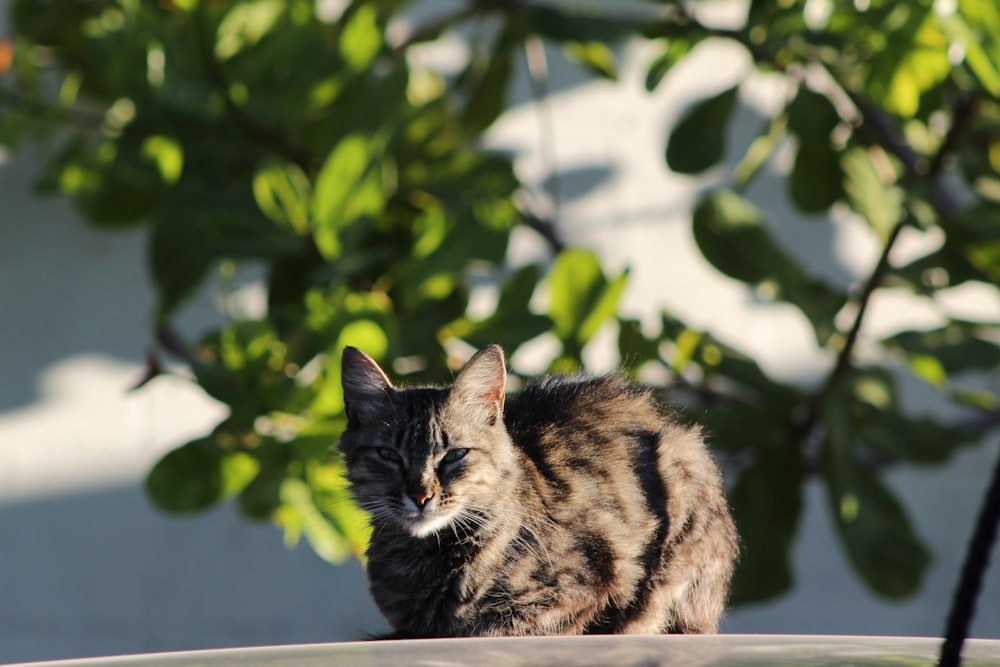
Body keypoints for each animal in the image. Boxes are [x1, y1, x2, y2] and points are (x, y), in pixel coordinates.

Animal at [340, 344, 740, 636]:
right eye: (388, 455)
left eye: (454, 455)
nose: (421, 495)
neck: (428, 557)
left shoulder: (581, 594)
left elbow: (495, 629)